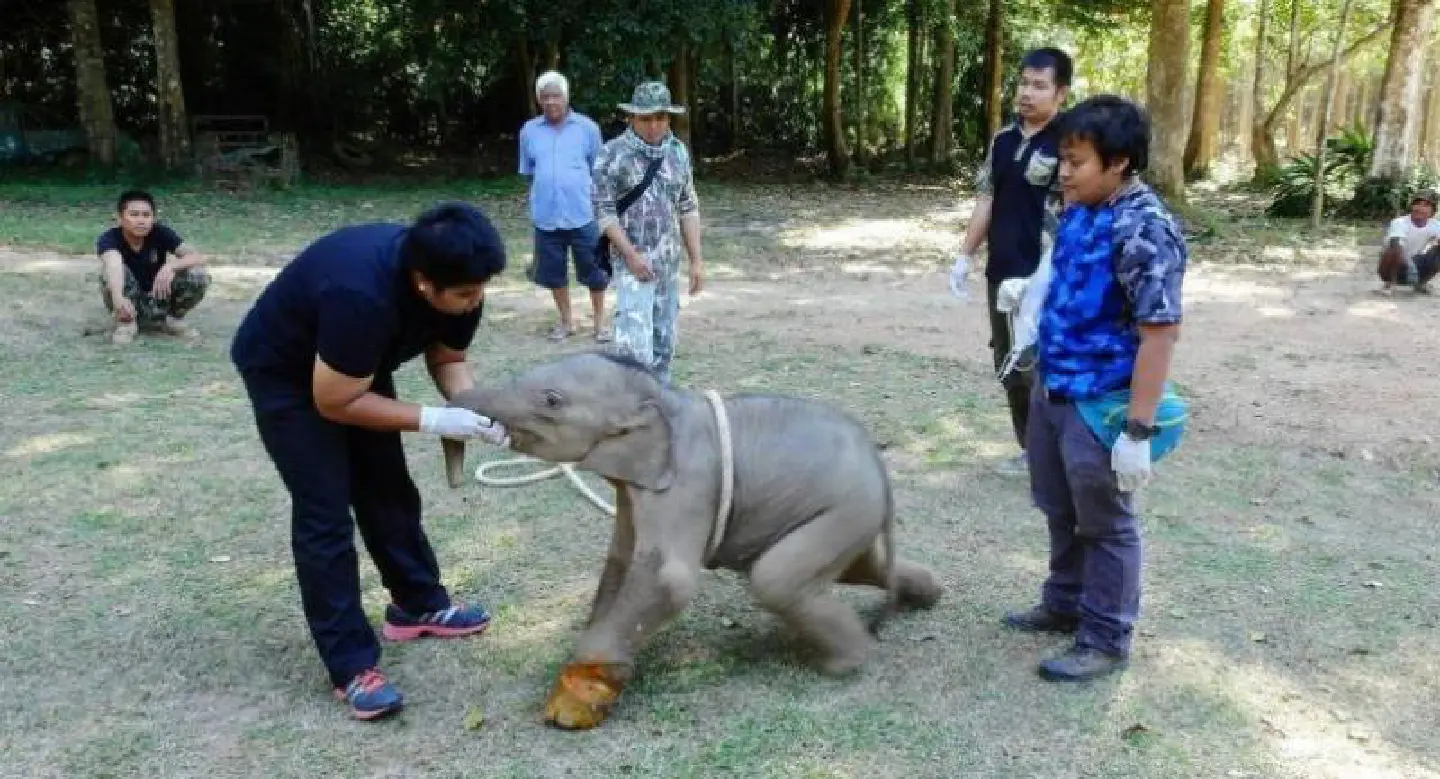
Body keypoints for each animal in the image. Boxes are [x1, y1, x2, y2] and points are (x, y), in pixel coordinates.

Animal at [441, 350, 942, 730]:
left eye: (551, 400)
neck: (666, 397)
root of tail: (880, 468)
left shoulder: (687, 483)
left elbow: (668, 578)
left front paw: (586, 681)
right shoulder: (636, 488)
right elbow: (621, 558)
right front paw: (588, 670)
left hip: (843, 508)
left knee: (776, 579)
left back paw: (845, 665)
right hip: (850, 518)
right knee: (864, 567)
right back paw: (925, 596)